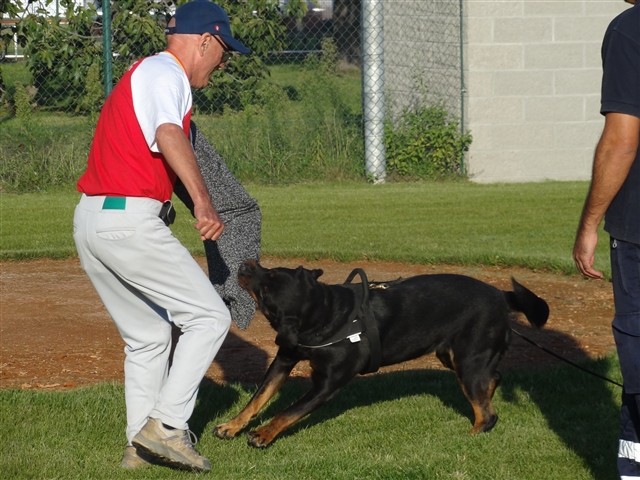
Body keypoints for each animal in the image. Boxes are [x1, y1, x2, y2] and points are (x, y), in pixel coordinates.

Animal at [212, 260, 548, 448]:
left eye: (266, 289)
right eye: (269, 271)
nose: (244, 266)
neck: (325, 314)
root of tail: (501, 294)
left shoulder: (327, 384)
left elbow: (288, 411)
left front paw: (263, 434)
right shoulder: (284, 359)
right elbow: (257, 399)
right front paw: (232, 425)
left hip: (468, 360)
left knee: (487, 414)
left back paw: (469, 439)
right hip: (454, 355)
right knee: (494, 377)